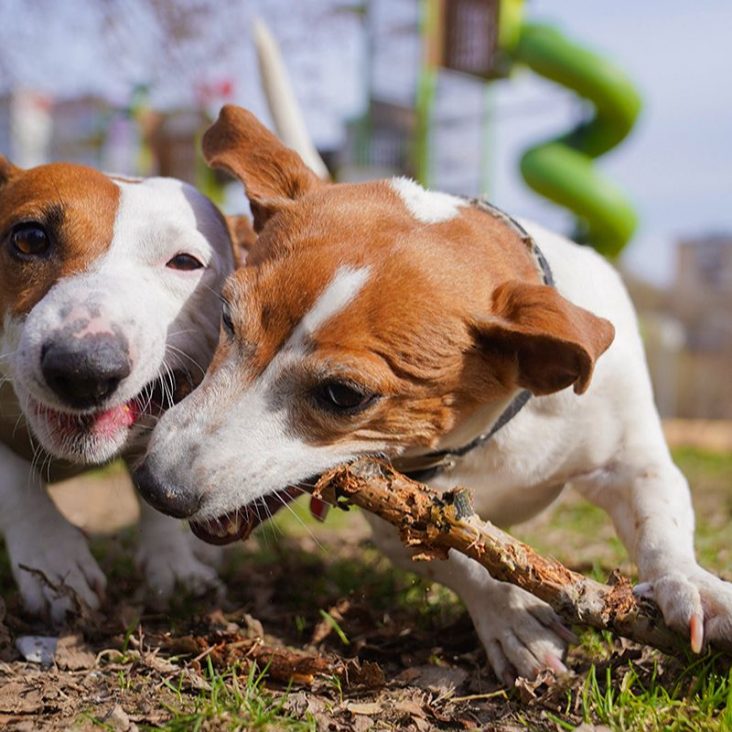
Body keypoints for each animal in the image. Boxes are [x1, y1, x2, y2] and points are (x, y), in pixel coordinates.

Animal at [0, 157, 236, 620]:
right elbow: (12, 478)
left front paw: (173, 562)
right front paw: (53, 560)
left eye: (185, 262)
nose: (84, 369)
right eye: (30, 237)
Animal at [134, 106, 728, 684]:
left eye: (343, 395)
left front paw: (692, 586)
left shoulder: (630, 458)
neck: (492, 431)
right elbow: (457, 553)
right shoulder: (391, 503)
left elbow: (660, 518)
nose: (156, 486)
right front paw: (511, 615)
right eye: (227, 318)